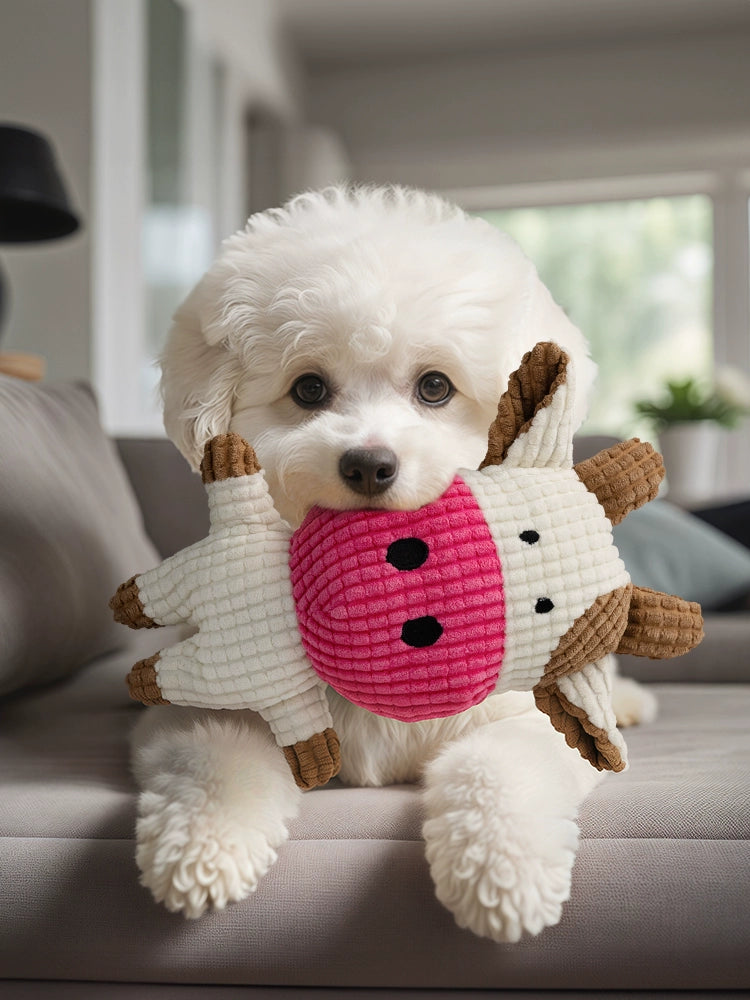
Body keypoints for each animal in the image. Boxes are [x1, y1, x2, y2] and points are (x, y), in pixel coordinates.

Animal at [132, 184, 656, 940]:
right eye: (309, 389)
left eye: (435, 387)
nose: (369, 464)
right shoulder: (183, 718)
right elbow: (215, 755)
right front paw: (202, 847)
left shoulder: (521, 719)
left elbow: (500, 766)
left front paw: (502, 870)